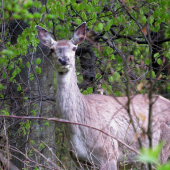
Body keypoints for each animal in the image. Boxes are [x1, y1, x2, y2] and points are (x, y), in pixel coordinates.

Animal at [35, 22, 170, 170]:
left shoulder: (108, 153)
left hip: (162, 149)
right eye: (52, 49)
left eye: (74, 48)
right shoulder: (79, 160)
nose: (64, 60)